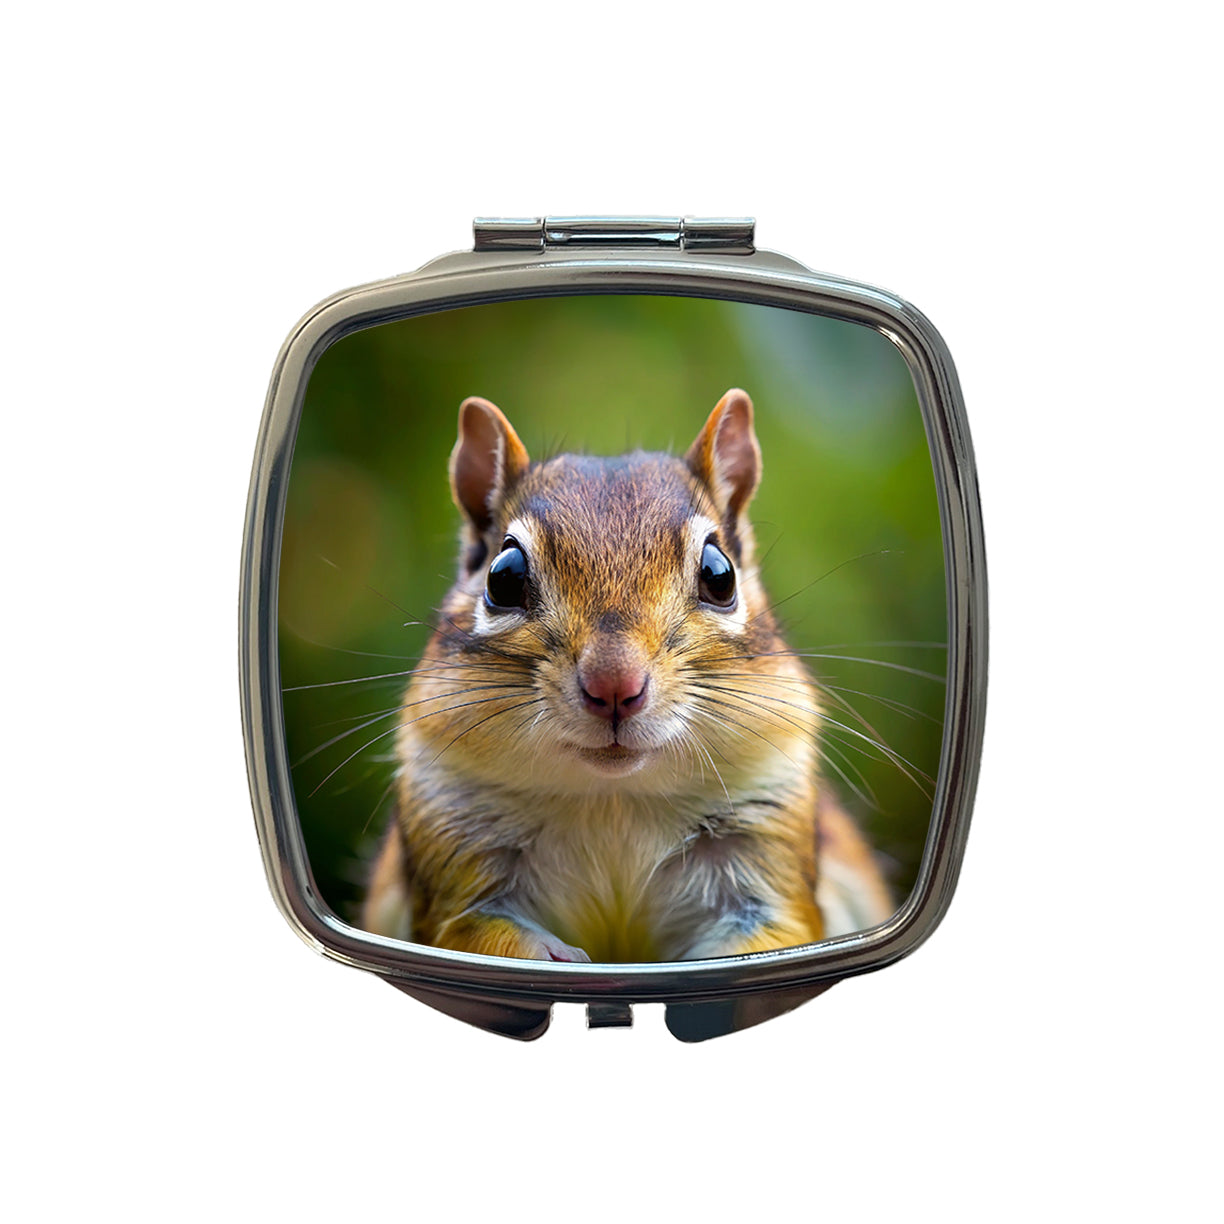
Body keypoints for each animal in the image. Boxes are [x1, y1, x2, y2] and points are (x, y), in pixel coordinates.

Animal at [360, 389, 894, 962]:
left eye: (720, 574)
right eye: (503, 578)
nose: (614, 685)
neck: (611, 799)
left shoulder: (767, 845)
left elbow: (777, 929)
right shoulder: (453, 846)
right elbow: (470, 930)